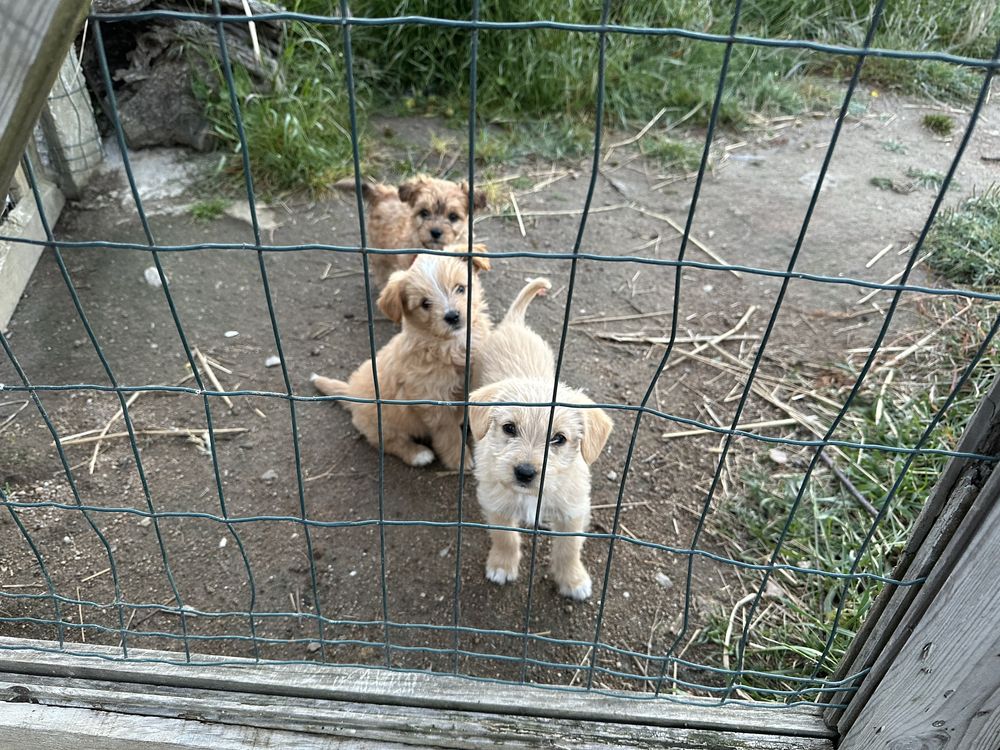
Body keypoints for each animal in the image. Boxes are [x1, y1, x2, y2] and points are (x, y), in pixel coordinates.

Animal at [308, 250, 488, 472]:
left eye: (461, 288)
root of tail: (351, 392)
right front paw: (459, 460)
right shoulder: (433, 402)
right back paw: (417, 454)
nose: (453, 316)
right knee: (388, 443)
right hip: (383, 423)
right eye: (425, 303)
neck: (449, 345)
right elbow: (449, 434)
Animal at [470, 280, 616, 604]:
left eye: (558, 438)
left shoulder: (573, 511)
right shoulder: (496, 502)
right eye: (509, 428)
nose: (525, 472)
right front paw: (502, 565)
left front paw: (573, 580)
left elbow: (569, 549)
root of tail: (513, 324)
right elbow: (505, 537)